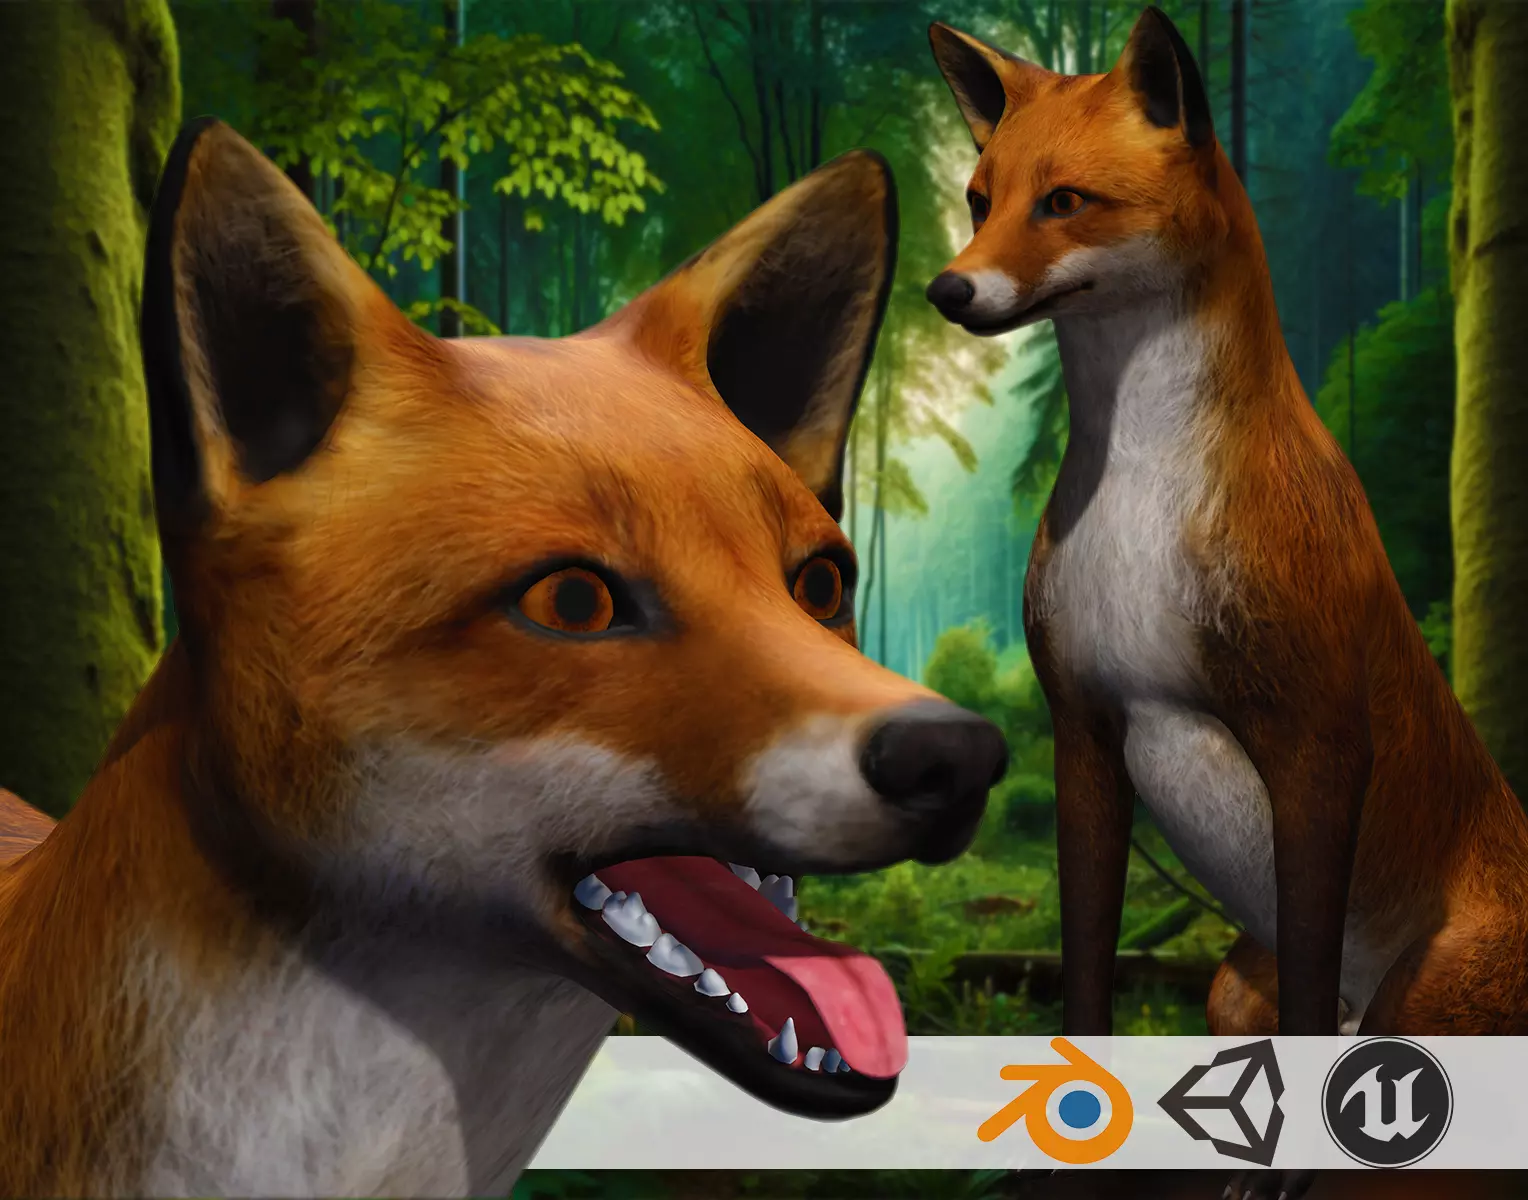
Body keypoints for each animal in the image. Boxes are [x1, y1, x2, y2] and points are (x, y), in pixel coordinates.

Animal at [922, 0, 1528, 1102]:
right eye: (980, 201)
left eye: (1063, 202)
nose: (950, 289)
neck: (1139, 502)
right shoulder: (1084, 733)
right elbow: (1085, 978)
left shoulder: (1319, 743)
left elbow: (1307, 1010)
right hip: (1228, 987)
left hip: (1421, 997)